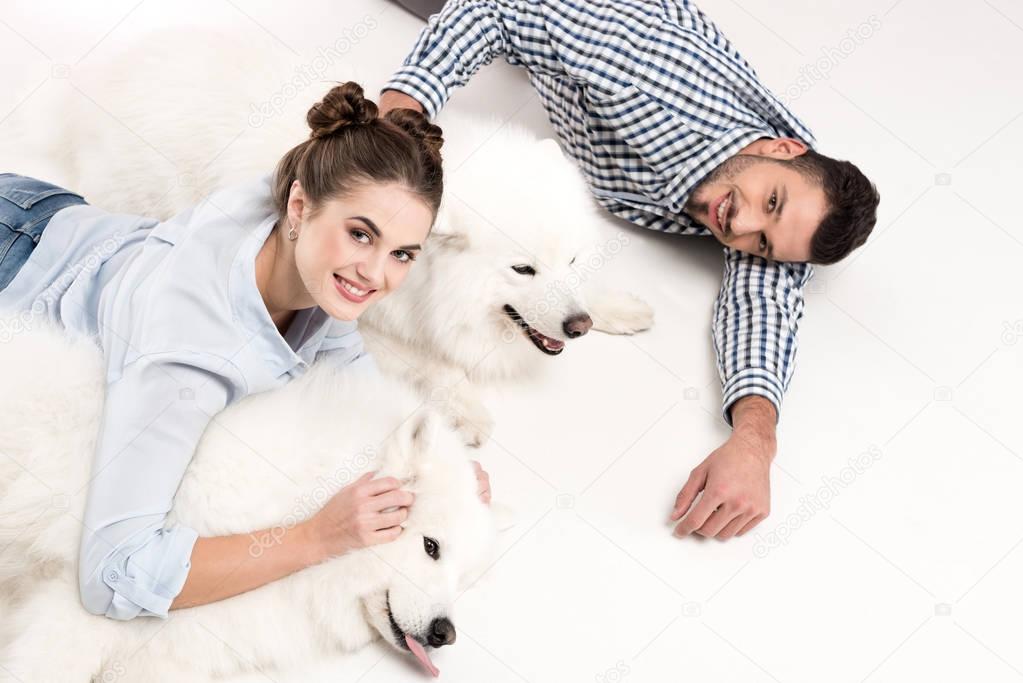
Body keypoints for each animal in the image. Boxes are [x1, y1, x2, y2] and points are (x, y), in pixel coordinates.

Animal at [0, 29, 654, 447]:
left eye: (572, 260)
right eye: (524, 271)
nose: (577, 327)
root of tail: (97, 80)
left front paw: (618, 308)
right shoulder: (369, 325)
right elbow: (434, 366)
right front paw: (467, 408)